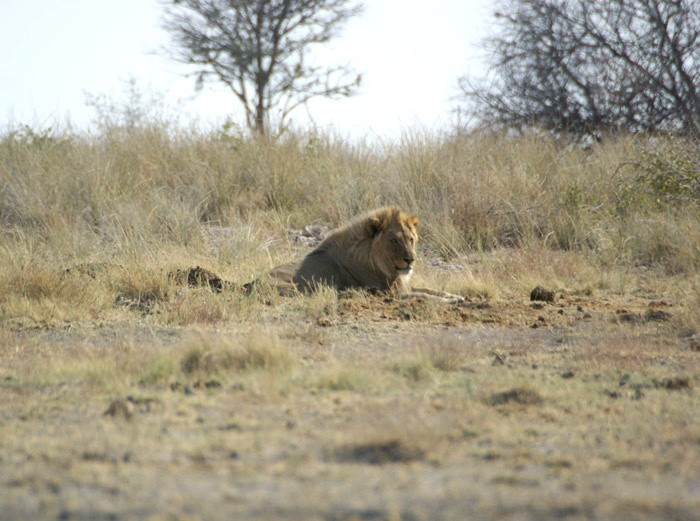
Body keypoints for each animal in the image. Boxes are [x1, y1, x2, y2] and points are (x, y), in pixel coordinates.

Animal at [246, 205, 464, 302]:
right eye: (394, 241)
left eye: (411, 239)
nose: (410, 260)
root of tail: (249, 284)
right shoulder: (392, 292)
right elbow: (424, 296)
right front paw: (450, 301)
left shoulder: (403, 286)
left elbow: (430, 290)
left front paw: (455, 295)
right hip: (300, 287)